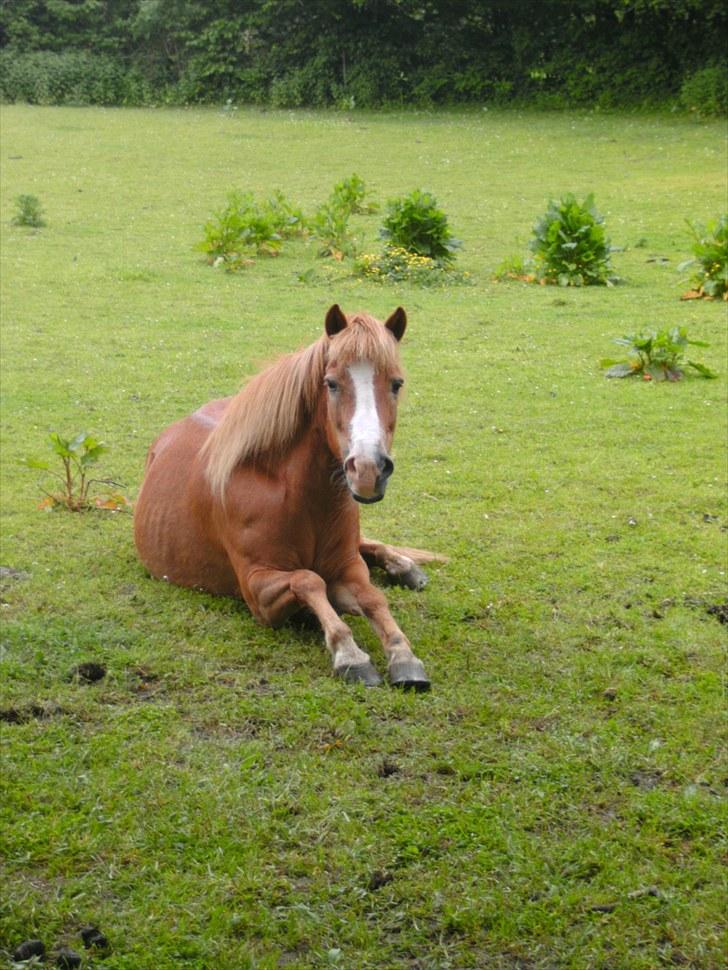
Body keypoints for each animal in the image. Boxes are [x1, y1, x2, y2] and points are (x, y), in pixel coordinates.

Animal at [134, 302, 446, 688]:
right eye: (331, 383)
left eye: (396, 383)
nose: (368, 470)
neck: (299, 496)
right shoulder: (258, 589)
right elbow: (309, 581)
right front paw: (350, 655)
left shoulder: (348, 566)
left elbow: (373, 598)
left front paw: (403, 654)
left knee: (370, 544)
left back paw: (404, 567)